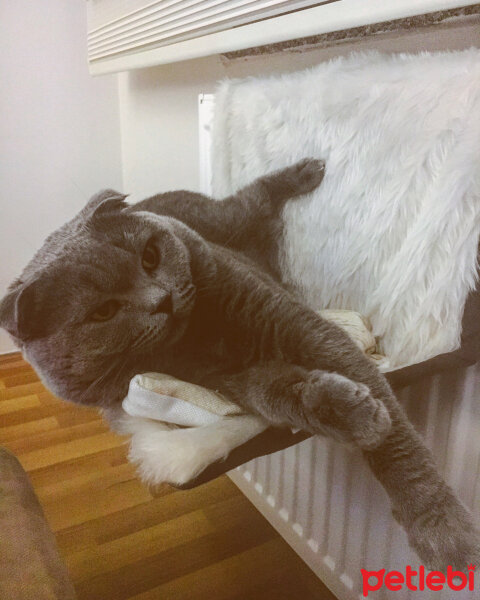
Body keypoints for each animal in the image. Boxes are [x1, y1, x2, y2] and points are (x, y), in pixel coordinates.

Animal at [0, 157, 478, 568]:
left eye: (150, 256)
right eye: (103, 312)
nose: (162, 300)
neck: (201, 337)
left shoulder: (297, 325)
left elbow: (392, 436)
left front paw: (441, 528)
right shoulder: (225, 379)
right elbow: (280, 394)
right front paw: (353, 413)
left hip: (225, 221)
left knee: (254, 197)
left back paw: (306, 171)